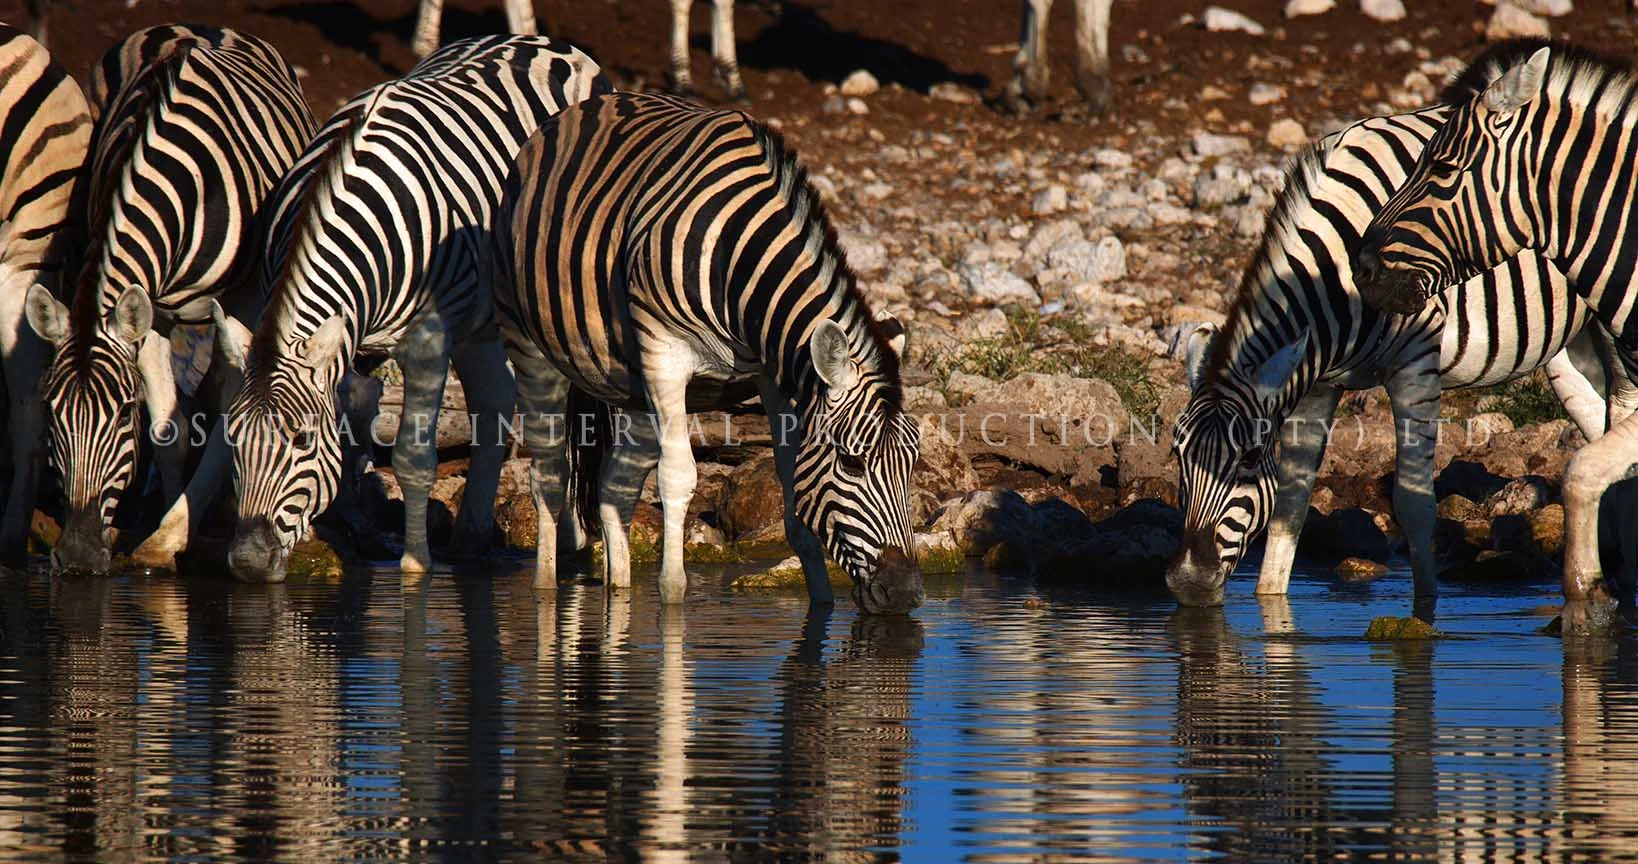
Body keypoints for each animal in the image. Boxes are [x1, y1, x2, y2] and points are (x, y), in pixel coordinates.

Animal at [21, 26, 315, 575]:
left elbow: (234, 408)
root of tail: (200, 27)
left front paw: (181, 528)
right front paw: (158, 532)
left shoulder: (244, 299)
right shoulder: (151, 311)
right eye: (51, 411)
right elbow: (167, 429)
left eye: (122, 414)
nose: (77, 557)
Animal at [212, 35, 608, 584]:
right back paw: (470, 538)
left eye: (302, 440)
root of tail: (546, 41)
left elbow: (412, 456)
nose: (248, 563)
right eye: (233, 438)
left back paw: (569, 538)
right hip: (479, 323)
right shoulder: (355, 343)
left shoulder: (427, 337)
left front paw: (414, 564)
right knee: (494, 402)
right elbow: (354, 442)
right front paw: (354, 535)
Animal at [491, 90, 923, 614]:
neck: (739, 258)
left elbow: (792, 483)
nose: (905, 593)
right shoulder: (665, 353)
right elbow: (678, 477)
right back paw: (546, 586)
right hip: (529, 342)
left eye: (913, 464)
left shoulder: (772, 373)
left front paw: (820, 603)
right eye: (852, 463)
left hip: (630, 384)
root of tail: (588, 105)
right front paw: (673, 595)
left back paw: (619, 591)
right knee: (550, 476)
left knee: (615, 488)